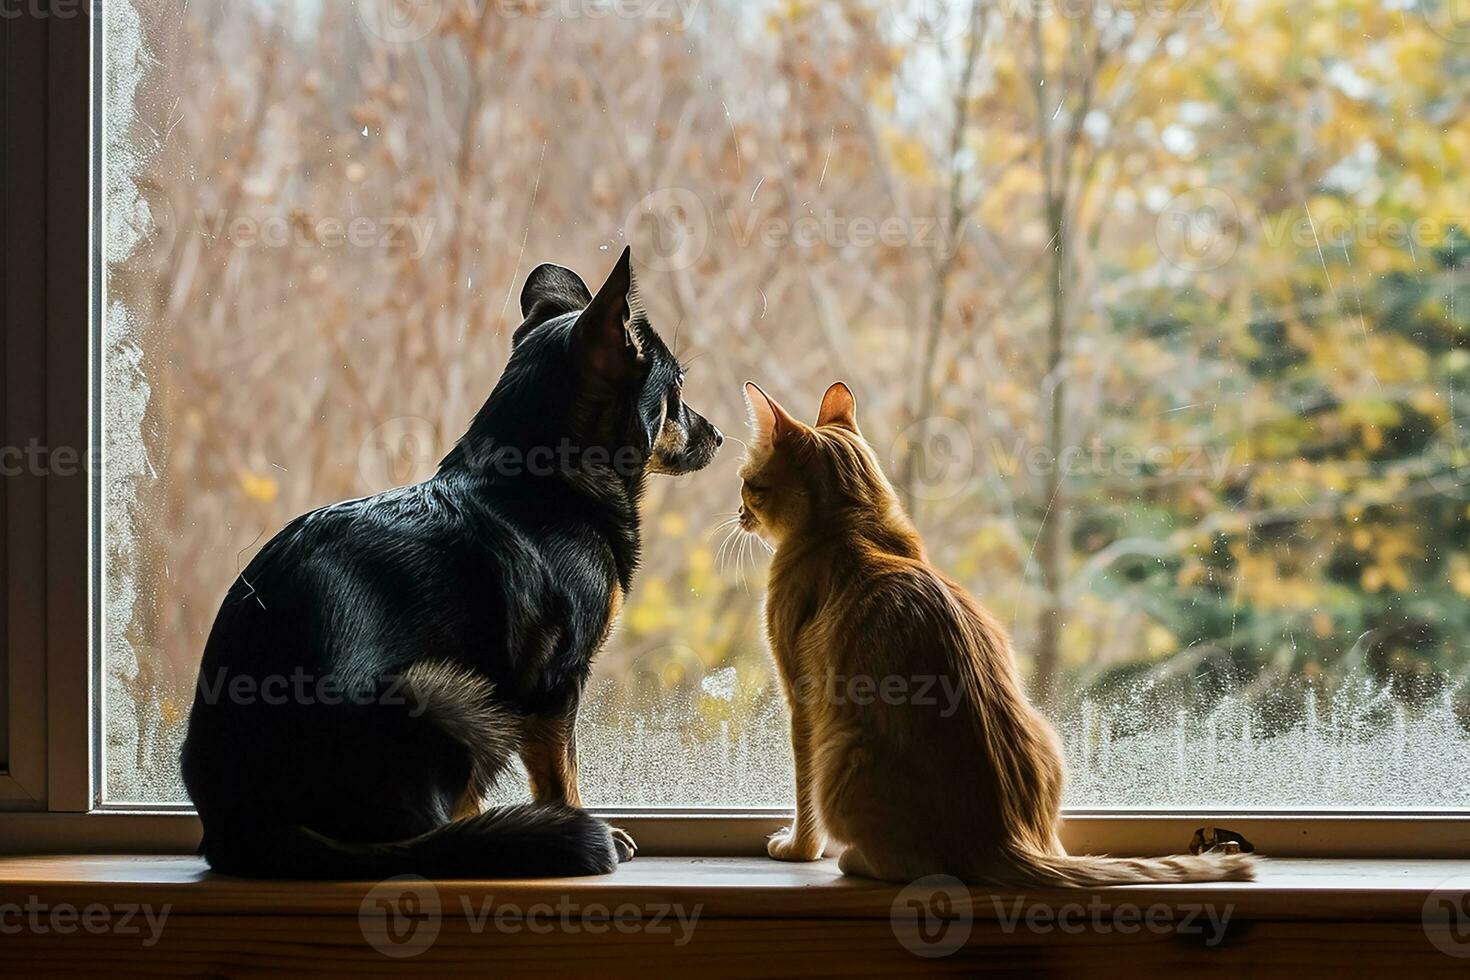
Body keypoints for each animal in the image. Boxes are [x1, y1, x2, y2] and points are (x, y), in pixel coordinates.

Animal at [180, 249, 720, 875]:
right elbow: (562, 776)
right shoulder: (556, 685)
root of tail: (242, 830)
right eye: (676, 388)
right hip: (445, 692)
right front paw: (581, 826)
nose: (720, 435)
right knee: (424, 835)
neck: (544, 479)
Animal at [735, 382, 1252, 887]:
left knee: (903, 863)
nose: (738, 512)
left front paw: (798, 849)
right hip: (1046, 736)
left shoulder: (800, 701)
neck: (855, 529)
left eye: (746, 482)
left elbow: (802, 795)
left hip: (842, 749)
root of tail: (1002, 840)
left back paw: (852, 859)